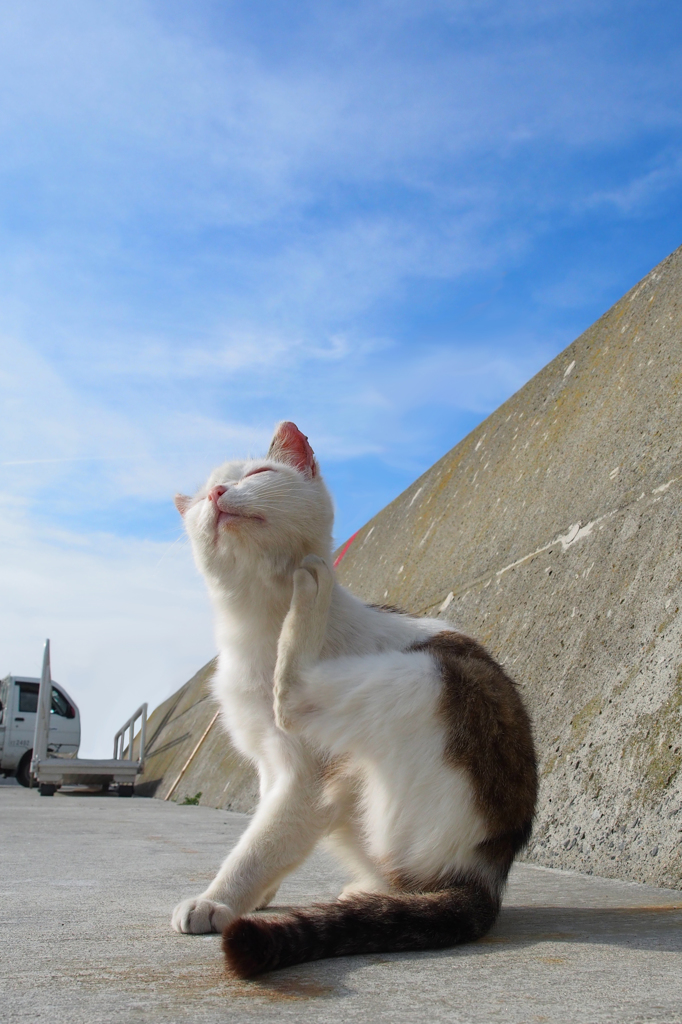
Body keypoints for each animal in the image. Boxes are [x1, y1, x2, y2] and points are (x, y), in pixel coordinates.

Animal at [171, 421, 536, 974]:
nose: (216, 495)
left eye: (257, 473)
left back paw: (312, 588)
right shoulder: (270, 767)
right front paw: (256, 894)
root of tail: (488, 875)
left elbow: (259, 844)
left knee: (296, 693)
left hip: (430, 675)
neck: (257, 627)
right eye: (199, 501)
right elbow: (267, 832)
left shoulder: (304, 778)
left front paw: (219, 899)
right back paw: (367, 894)